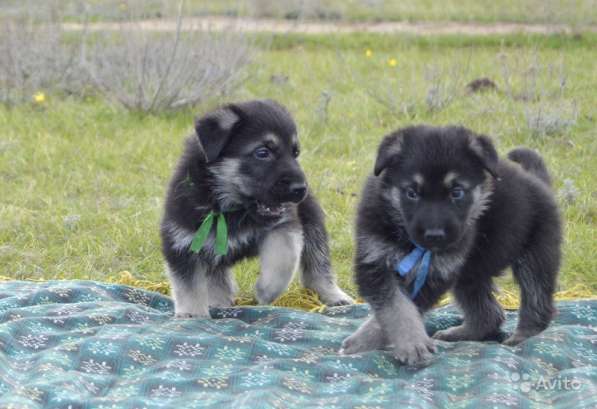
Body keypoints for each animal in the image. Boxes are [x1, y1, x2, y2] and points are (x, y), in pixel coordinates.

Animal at [161, 100, 352, 318]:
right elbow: (189, 285)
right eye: (262, 153)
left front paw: (266, 291)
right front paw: (192, 314)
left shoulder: (283, 225)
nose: (300, 188)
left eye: (295, 153)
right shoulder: (182, 242)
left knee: (317, 262)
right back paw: (218, 303)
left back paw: (334, 295)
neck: (229, 208)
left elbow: (284, 258)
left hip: (312, 221)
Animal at [342, 123, 560, 364]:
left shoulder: (436, 273)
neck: (409, 240)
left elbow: (404, 307)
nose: (435, 235)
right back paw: (462, 333)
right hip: (471, 272)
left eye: (457, 192)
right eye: (412, 193)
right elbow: (396, 307)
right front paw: (407, 343)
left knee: (536, 299)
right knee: (490, 313)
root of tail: (537, 181)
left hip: (535, 255)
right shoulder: (373, 260)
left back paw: (524, 336)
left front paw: (394, 343)